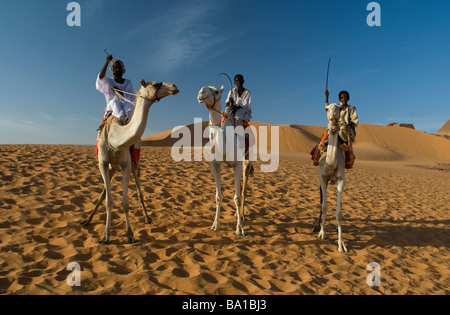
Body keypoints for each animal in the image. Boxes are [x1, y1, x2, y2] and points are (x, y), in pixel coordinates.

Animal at [83, 79, 178, 244]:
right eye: (155, 84)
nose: (174, 86)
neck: (115, 138)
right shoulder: (103, 163)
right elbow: (108, 201)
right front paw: (106, 235)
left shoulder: (126, 165)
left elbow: (125, 203)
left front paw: (129, 234)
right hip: (111, 167)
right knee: (103, 194)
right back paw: (88, 220)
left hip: (134, 165)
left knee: (139, 191)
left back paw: (147, 218)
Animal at [197, 85, 253, 236]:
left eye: (216, 91)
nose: (200, 92)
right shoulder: (215, 165)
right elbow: (218, 196)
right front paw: (216, 224)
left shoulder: (237, 164)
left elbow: (237, 197)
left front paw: (240, 228)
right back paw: (236, 214)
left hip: (247, 160)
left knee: (244, 189)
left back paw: (243, 215)